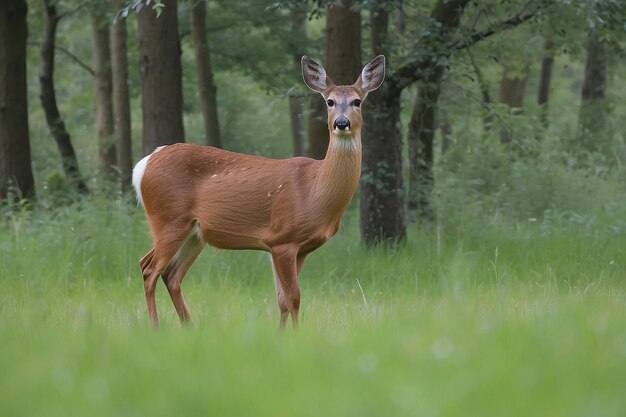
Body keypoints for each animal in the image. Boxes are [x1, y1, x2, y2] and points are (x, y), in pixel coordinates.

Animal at [132, 55, 382, 328]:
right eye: (330, 101)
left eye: (357, 101)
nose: (341, 123)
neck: (314, 191)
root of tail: (144, 164)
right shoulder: (282, 238)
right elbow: (294, 298)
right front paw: (297, 334)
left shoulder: (298, 248)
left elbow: (282, 300)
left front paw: (281, 334)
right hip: (169, 218)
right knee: (149, 269)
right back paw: (156, 327)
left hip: (194, 232)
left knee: (170, 274)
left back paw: (189, 327)